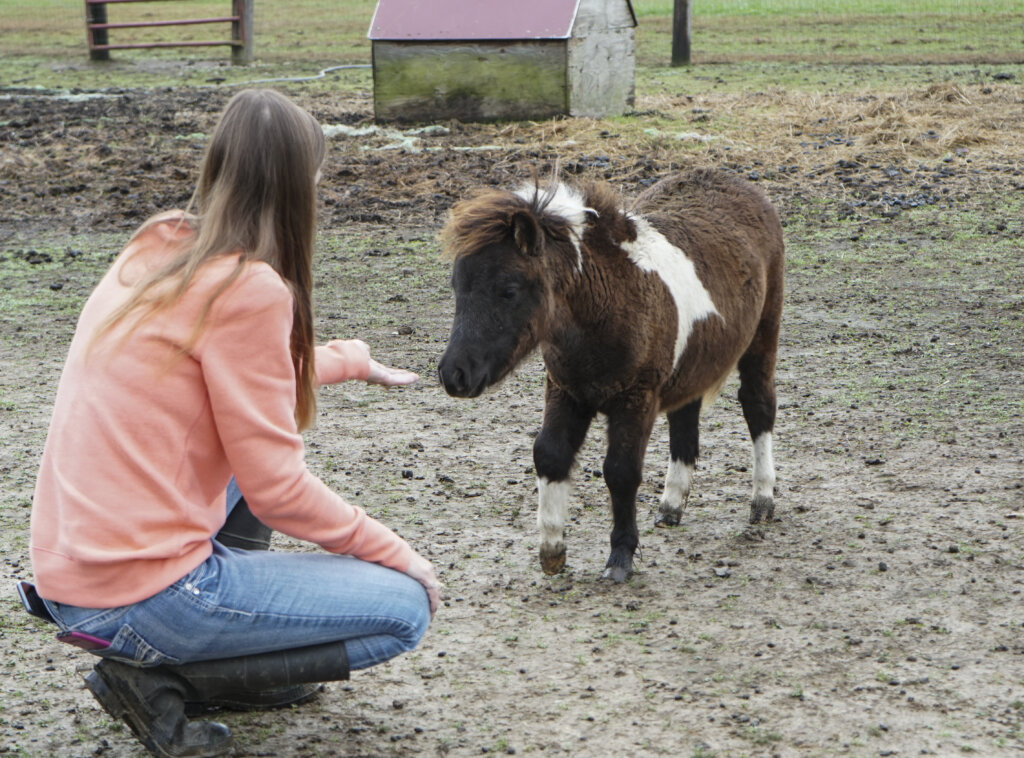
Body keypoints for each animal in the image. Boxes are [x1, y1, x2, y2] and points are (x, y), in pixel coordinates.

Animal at [438, 169, 782, 581]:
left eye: (509, 290)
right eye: (457, 287)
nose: (454, 374)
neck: (609, 304)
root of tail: (739, 184)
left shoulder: (636, 398)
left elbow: (621, 471)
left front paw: (620, 557)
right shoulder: (566, 390)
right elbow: (549, 454)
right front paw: (552, 550)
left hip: (763, 336)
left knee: (758, 405)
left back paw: (762, 500)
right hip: (692, 361)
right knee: (685, 415)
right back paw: (671, 505)